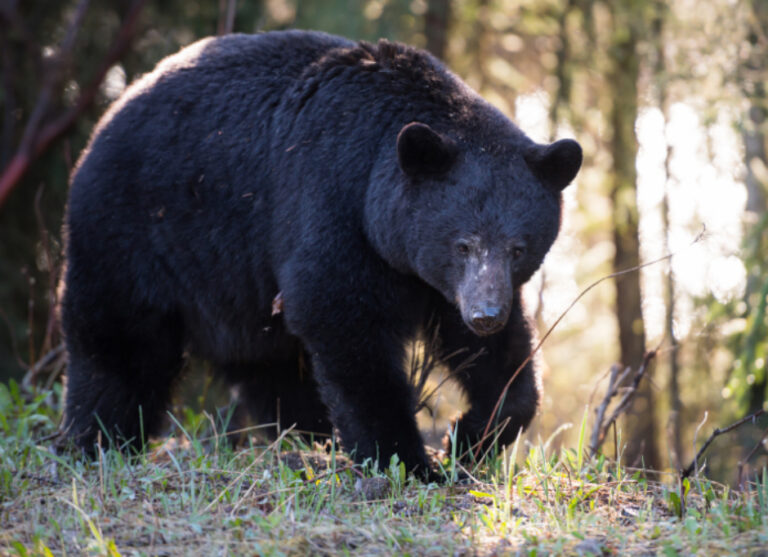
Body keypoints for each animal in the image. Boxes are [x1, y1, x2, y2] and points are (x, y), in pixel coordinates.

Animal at [60, 30, 581, 478]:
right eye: (463, 243)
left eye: (518, 248)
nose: (486, 314)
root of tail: (107, 118)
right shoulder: (331, 201)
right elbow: (340, 318)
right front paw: (407, 460)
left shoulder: (437, 280)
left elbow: (494, 356)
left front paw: (469, 436)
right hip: (137, 232)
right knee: (121, 345)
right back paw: (97, 440)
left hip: (236, 290)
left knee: (269, 365)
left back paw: (309, 435)